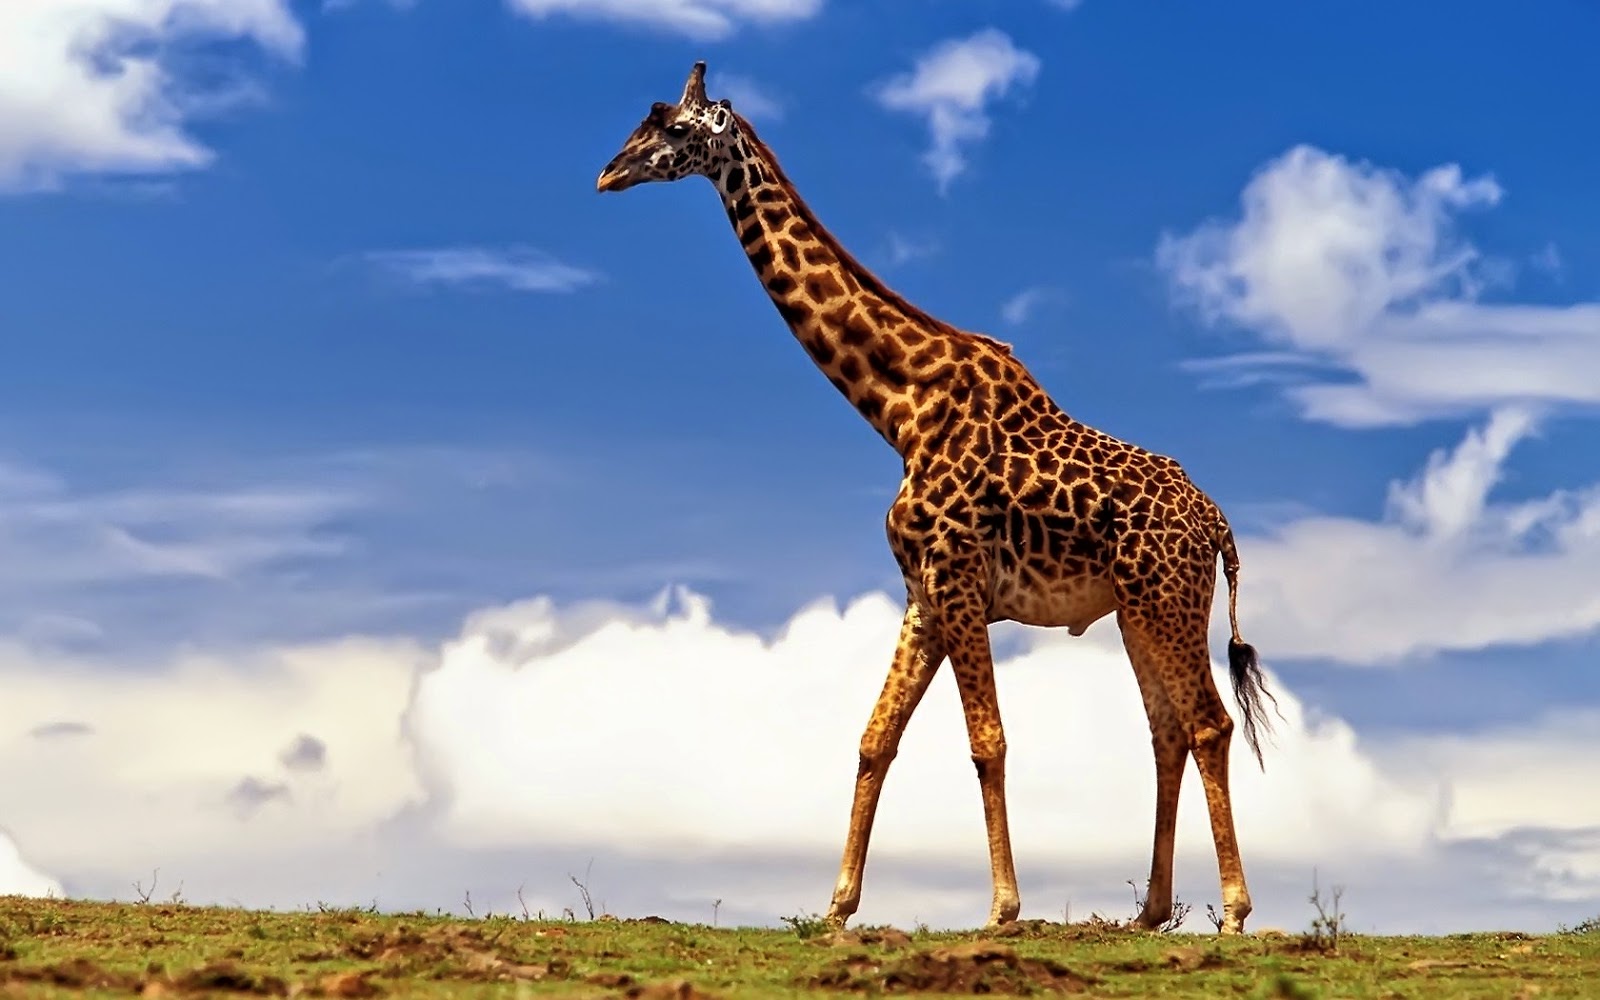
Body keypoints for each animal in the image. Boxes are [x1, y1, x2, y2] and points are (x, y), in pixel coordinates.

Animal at [596, 62, 1278, 935]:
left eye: (674, 127)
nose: (608, 173)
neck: (898, 408)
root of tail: (1219, 524)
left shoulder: (957, 579)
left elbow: (988, 740)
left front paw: (1003, 908)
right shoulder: (922, 592)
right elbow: (874, 738)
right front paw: (838, 907)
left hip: (1166, 599)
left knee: (1208, 723)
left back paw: (1233, 911)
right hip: (1138, 609)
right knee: (1167, 732)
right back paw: (1151, 912)